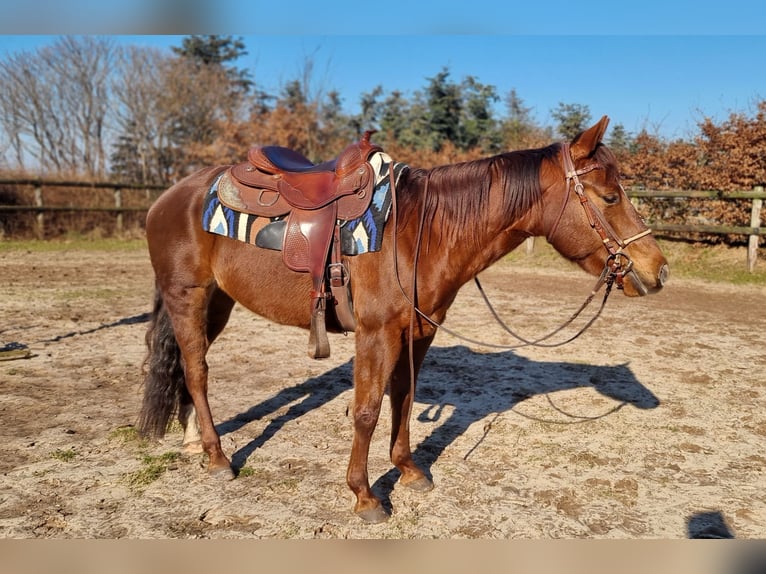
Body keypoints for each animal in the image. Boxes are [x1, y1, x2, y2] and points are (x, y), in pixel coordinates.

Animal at [138, 116, 668, 523]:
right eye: (610, 197)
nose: (657, 269)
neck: (419, 232)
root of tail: (169, 195)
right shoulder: (376, 334)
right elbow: (368, 410)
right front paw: (365, 495)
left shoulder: (419, 332)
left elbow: (404, 400)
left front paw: (410, 471)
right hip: (187, 296)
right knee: (197, 371)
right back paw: (217, 457)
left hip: (218, 301)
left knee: (190, 366)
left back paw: (193, 443)